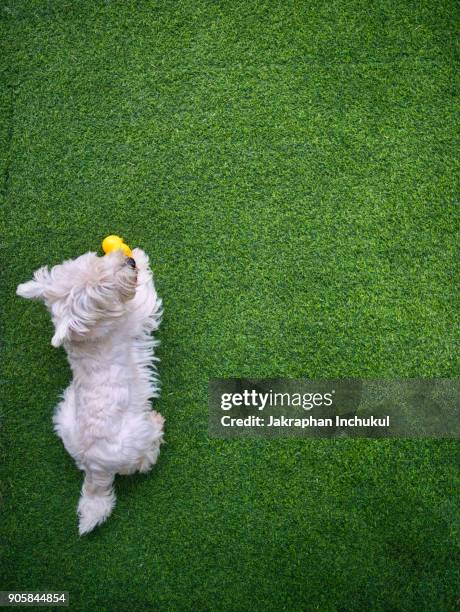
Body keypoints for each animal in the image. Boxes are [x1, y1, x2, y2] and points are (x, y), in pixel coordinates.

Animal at [17, 249, 165, 536]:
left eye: (95, 260)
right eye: (104, 288)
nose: (128, 261)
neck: (87, 333)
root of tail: (94, 470)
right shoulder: (136, 316)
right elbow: (144, 293)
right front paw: (141, 259)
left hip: (64, 411)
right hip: (135, 434)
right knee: (143, 461)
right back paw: (156, 424)